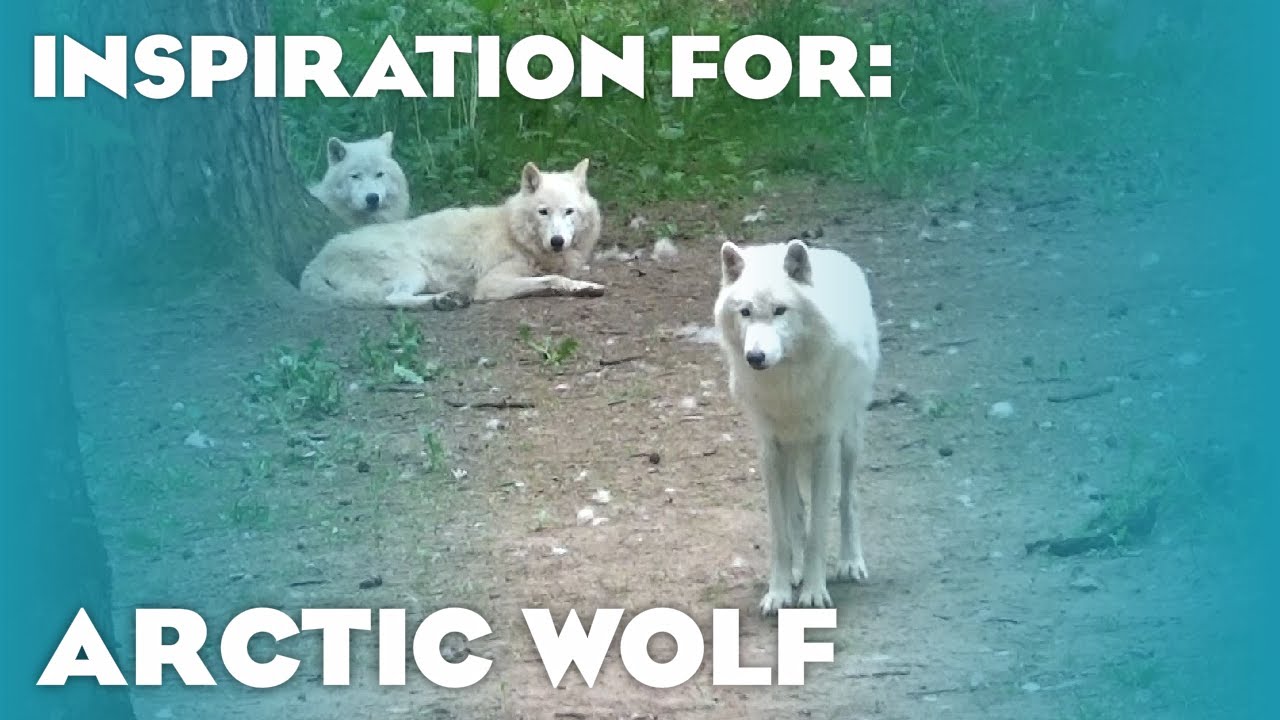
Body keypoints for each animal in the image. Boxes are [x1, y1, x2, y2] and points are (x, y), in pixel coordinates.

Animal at [300, 159, 604, 310]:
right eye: (543, 212)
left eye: (569, 212)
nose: (557, 242)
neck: (515, 233)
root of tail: (316, 261)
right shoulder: (491, 283)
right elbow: (552, 279)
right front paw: (580, 286)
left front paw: (583, 286)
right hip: (412, 271)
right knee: (393, 300)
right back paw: (443, 300)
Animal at [714, 239, 880, 615]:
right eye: (745, 312)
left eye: (780, 311)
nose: (755, 358)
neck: (786, 383)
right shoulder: (770, 451)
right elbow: (781, 531)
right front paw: (778, 592)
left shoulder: (824, 446)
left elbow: (819, 528)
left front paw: (814, 592)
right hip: (790, 455)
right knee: (796, 512)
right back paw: (796, 572)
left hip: (850, 439)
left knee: (848, 499)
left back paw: (851, 563)